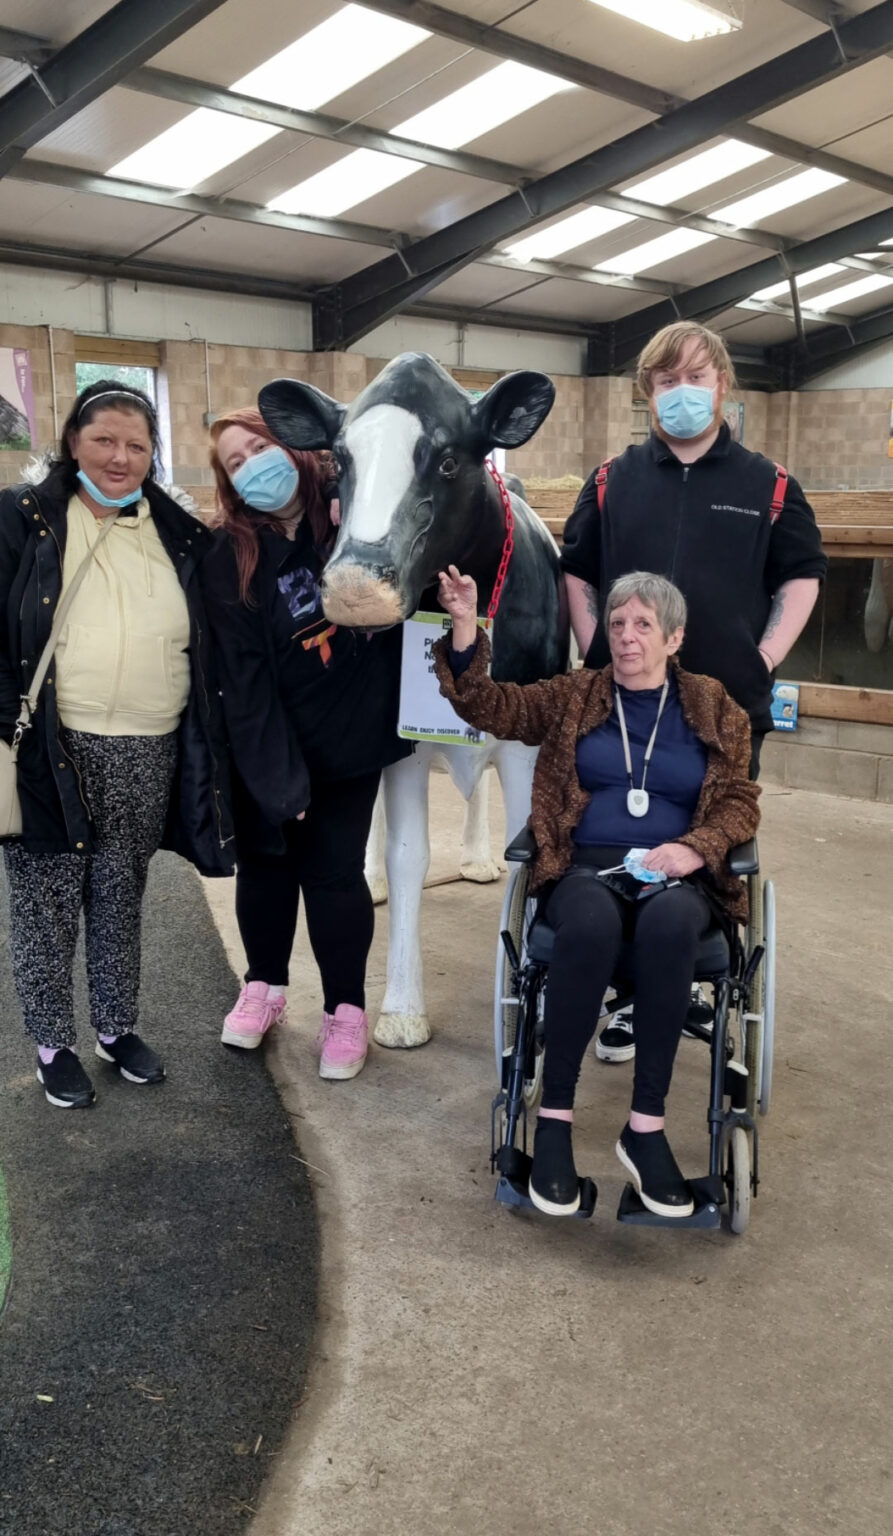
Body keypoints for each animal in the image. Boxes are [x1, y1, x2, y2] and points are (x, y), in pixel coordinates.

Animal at [259, 352, 568, 1048]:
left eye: (449, 460)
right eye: (340, 460)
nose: (354, 584)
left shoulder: (528, 738)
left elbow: (528, 852)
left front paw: (526, 1007)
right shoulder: (403, 740)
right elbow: (408, 856)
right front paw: (401, 1010)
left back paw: (476, 859)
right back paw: (370, 879)